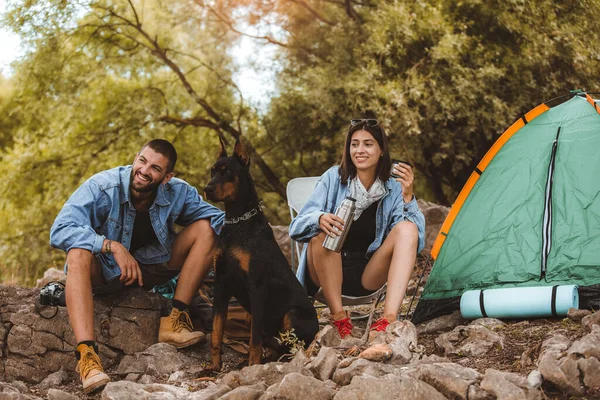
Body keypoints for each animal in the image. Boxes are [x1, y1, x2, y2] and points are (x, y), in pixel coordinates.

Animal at [205, 139, 322, 370]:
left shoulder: (256, 287)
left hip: (291, 313)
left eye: (227, 171)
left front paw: (253, 365)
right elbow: (215, 331)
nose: (207, 188)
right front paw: (213, 367)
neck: (237, 222)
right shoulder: (221, 285)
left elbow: (254, 339)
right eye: (213, 171)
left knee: (292, 346)